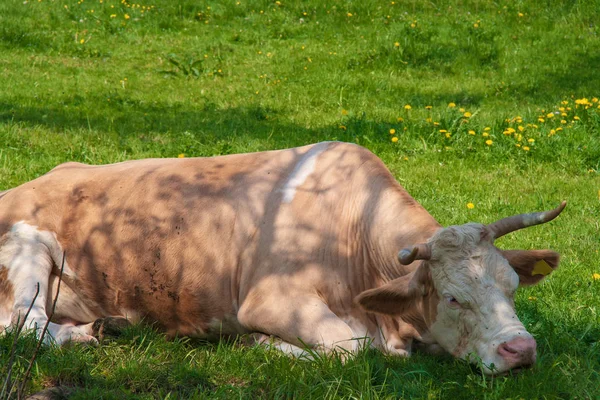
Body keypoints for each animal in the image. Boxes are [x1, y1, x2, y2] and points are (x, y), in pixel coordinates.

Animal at [0, 141, 568, 376]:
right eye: (452, 298)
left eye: (512, 287)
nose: (521, 350)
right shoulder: (270, 300)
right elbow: (350, 348)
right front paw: (260, 345)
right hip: (29, 251)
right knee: (21, 326)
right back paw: (83, 335)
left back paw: (101, 326)